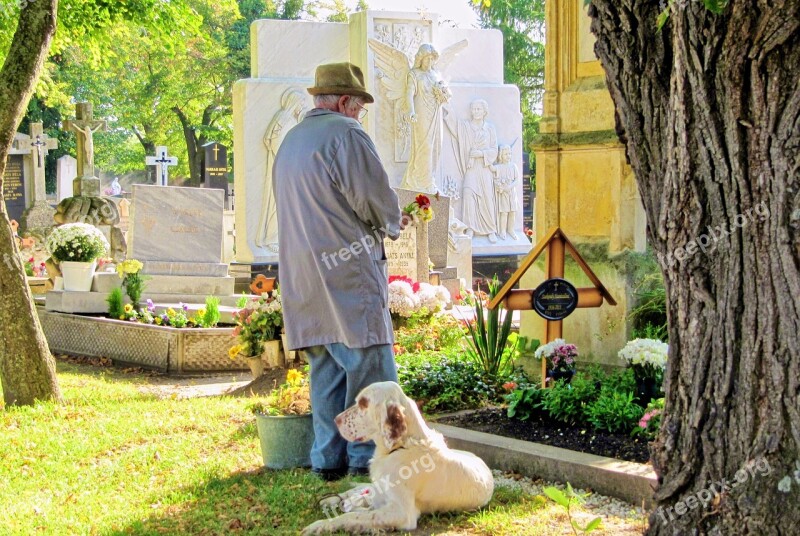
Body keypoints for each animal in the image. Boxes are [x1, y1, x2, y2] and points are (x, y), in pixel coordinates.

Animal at [304, 378, 494, 532]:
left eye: (364, 403)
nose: (336, 420)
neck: (401, 447)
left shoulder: (402, 513)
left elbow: (354, 515)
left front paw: (321, 525)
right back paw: (331, 499)